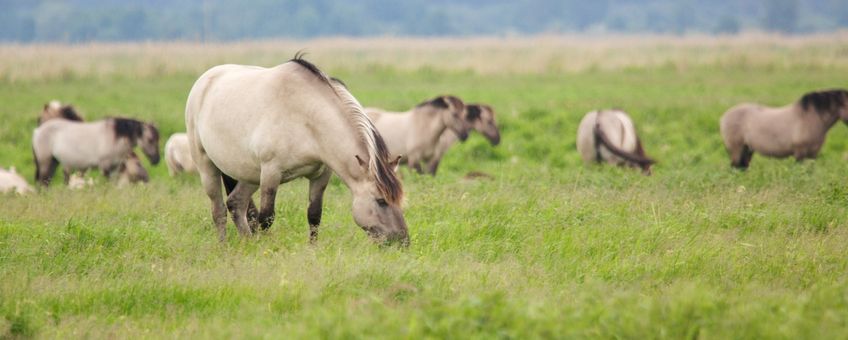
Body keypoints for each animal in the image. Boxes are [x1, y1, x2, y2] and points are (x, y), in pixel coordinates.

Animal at [31, 117, 161, 186]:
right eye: (150, 139)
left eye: (158, 138)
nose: (156, 160)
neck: (114, 137)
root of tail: (38, 130)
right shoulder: (105, 165)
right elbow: (108, 183)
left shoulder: (115, 166)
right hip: (45, 161)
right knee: (43, 181)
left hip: (54, 161)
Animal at [720, 89, 848, 169]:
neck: (812, 118)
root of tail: (724, 117)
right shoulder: (800, 153)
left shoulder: (813, 154)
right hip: (737, 149)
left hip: (747, 149)